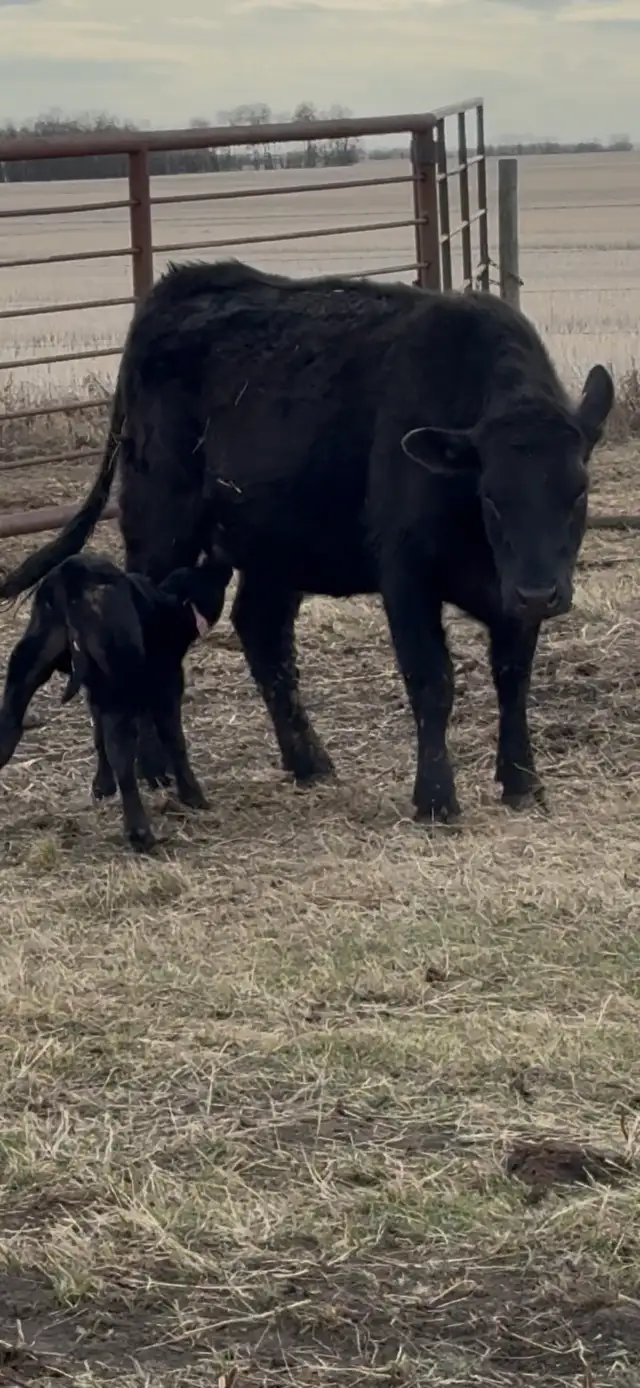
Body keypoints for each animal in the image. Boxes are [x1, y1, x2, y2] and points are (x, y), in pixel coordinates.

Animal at [0, 553, 229, 850]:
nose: (223, 563)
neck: (166, 609)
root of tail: (72, 577)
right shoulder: (166, 685)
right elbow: (173, 739)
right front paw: (191, 795)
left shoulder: (96, 690)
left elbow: (99, 738)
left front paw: (102, 787)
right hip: (119, 682)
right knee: (124, 759)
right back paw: (140, 833)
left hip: (28, 667)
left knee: (8, 730)